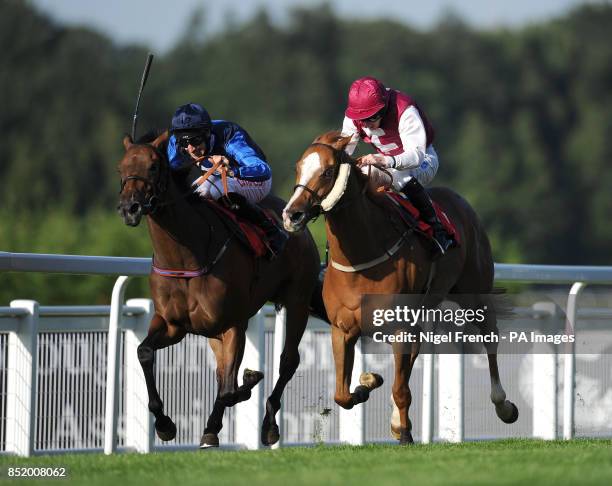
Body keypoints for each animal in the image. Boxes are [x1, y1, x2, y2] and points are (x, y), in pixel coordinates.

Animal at [116, 130, 322, 448]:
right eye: (121, 169)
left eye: (152, 166)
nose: (130, 208)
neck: (186, 257)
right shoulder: (173, 325)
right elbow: (144, 352)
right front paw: (165, 424)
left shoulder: (232, 324)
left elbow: (230, 389)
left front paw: (245, 386)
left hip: (297, 301)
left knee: (288, 361)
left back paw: (268, 424)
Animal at [280, 132, 516, 444]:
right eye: (297, 167)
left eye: (328, 171)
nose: (292, 215)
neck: (363, 256)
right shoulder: (342, 329)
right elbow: (342, 394)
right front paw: (367, 383)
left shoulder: (399, 326)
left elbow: (400, 388)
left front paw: (404, 433)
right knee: (413, 355)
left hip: (475, 293)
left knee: (490, 335)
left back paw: (503, 404)